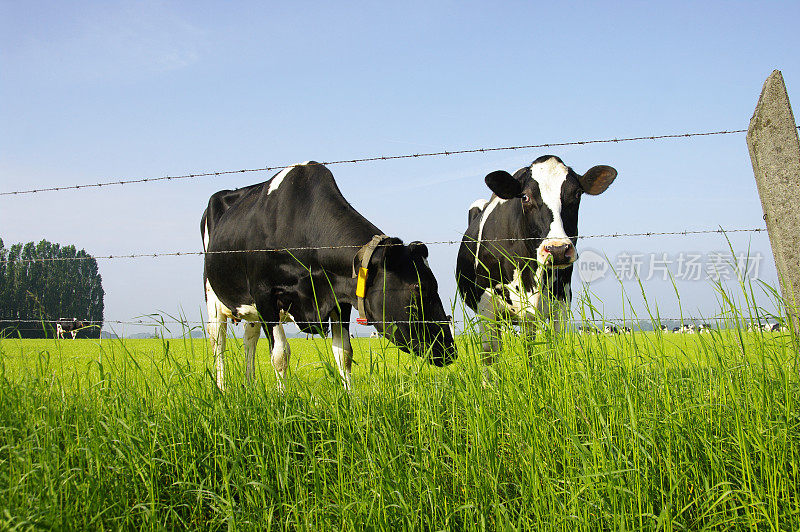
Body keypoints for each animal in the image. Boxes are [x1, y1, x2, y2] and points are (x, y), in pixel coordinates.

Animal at [456, 154, 620, 362]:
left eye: (577, 194)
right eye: (525, 197)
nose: (557, 250)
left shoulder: (561, 303)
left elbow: (549, 351)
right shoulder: (486, 306)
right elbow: (490, 356)